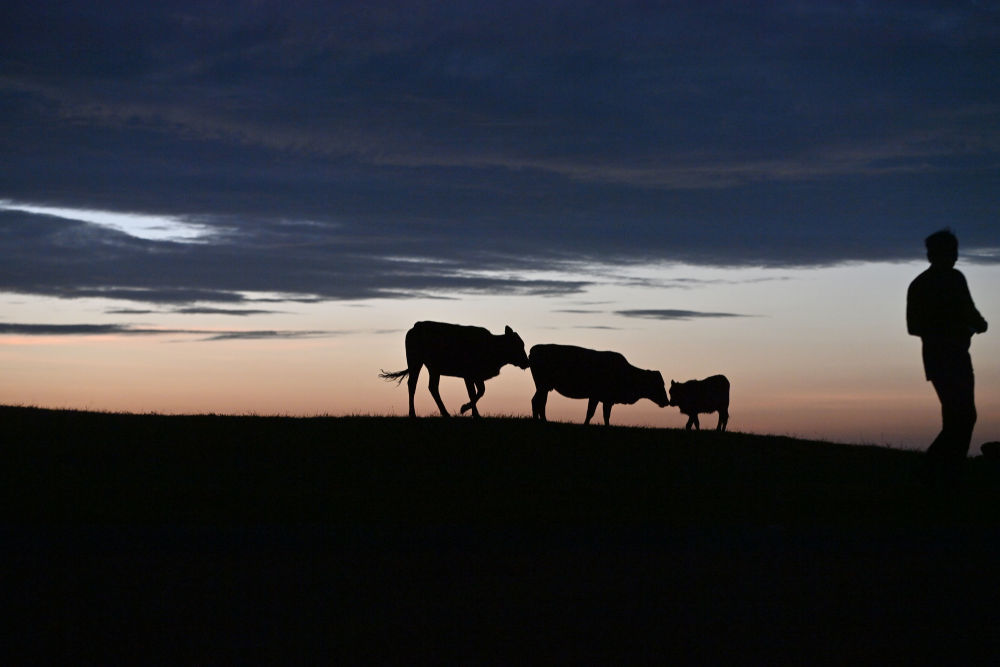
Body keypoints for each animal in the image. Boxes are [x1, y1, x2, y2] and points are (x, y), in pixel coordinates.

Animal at [376, 322, 532, 420]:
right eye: (518, 345)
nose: (527, 362)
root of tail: (415, 327)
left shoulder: (476, 376)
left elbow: (480, 391)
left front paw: (474, 413)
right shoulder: (469, 375)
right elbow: (474, 393)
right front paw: (466, 410)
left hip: (433, 369)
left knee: (432, 387)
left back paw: (445, 413)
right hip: (416, 362)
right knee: (413, 384)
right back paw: (413, 414)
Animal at [528, 344, 668, 428]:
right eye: (659, 385)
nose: (667, 401)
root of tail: (533, 349)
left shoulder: (606, 400)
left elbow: (604, 414)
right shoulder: (597, 397)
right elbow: (593, 413)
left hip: (544, 387)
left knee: (540, 402)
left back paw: (542, 421)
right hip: (543, 386)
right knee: (537, 401)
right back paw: (538, 421)